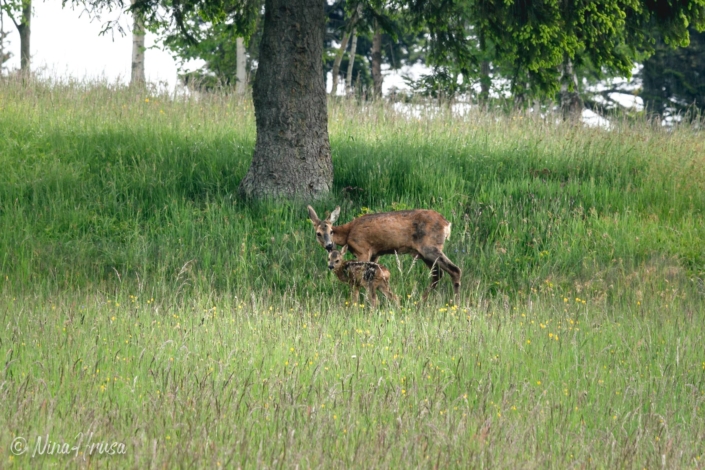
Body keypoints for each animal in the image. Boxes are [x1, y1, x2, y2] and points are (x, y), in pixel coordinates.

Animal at [308, 206, 462, 302]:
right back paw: (420, 302)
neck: (348, 233)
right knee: (437, 274)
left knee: (455, 270)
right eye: (318, 233)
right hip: (424, 253)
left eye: (331, 231)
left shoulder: (363, 249)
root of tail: (447, 224)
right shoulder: (375, 253)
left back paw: (455, 304)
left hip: (430, 247)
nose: (329, 245)